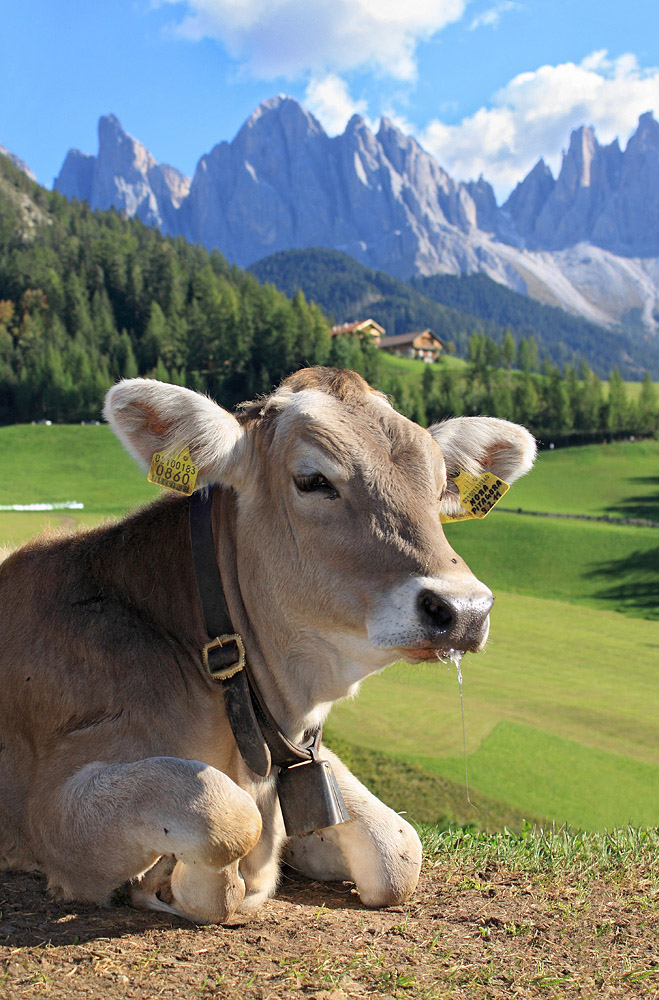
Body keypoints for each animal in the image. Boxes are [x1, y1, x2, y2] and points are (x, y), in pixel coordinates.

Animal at [0, 367, 535, 924]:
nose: (464, 609)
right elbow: (225, 815)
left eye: (439, 486)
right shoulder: (50, 808)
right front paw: (168, 883)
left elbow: (399, 847)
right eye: (313, 480)